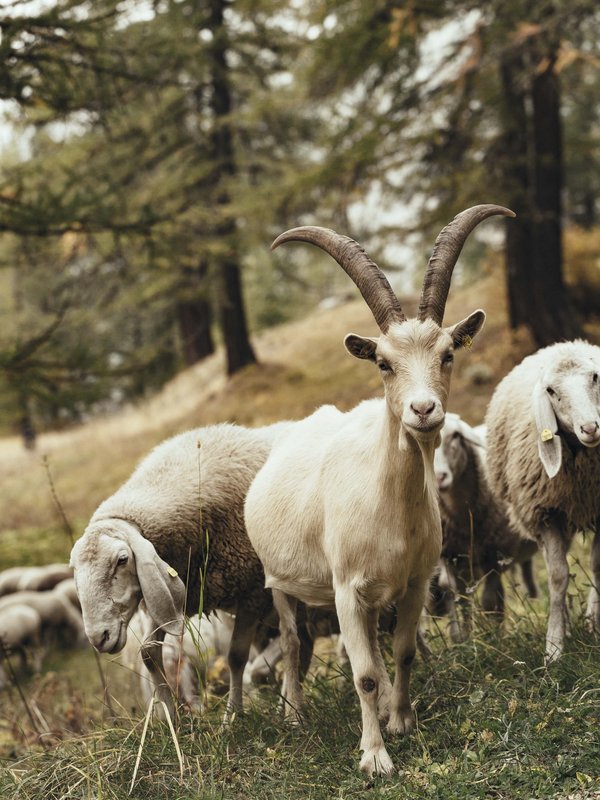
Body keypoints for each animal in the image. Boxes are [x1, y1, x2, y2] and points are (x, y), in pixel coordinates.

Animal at [68, 418, 318, 720]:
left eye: (122, 560)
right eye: (73, 568)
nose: (98, 637)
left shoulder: (252, 593)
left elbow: (236, 656)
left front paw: (232, 717)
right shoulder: (172, 594)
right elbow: (148, 653)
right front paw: (171, 719)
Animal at [244, 202, 510, 776]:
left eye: (448, 353)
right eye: (384, 363)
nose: (424, 410)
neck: (388, 505)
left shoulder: (414, 581)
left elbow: (403, 651)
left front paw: (402, 720)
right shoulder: (347, 587)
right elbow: (363, 672)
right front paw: (374, 756)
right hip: (284, 584)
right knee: (295, 641)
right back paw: (294, 713)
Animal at [432, 410, 540, 640]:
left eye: (456, 436)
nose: (438, 477)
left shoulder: (494, 554)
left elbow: (490, 601)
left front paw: (494, 636)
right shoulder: (450, 555)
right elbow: (457, 596)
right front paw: (463, 638)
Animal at [486, 340, 600, 660]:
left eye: (595, 377)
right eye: (551, 390)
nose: (590, 428)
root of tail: (563, 344)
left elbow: (597, 565)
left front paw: (595, 625)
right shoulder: (546, 514)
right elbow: (558, 577)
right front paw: (554, 647)